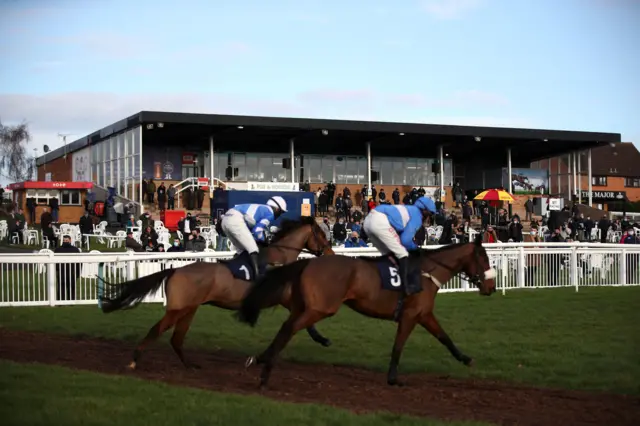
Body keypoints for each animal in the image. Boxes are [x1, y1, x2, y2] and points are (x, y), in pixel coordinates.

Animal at [100, 216, 336, 370]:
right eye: (322, 235)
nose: (330, 253)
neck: (279, 259)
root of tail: (175, 270)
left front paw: (322, 339)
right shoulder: (283, 297)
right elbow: (303, 319)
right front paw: (322, 338)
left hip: (189, 309)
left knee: (176, 339)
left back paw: (190, 365)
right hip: (178, 309)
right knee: (156, 331)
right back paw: (134, 360)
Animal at [238, 238, 498, 388]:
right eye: (484, 258)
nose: (491, 287)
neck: (427, 272)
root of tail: (308, 262)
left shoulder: (424, 315)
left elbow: (445, 337)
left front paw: (466, 358)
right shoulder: (410, 316)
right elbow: (398, 345)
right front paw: (393, 378)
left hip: (304, 306)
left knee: (286, 328)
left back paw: (260, 359)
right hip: (321, 308)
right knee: (289, 328)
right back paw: (265, 373)